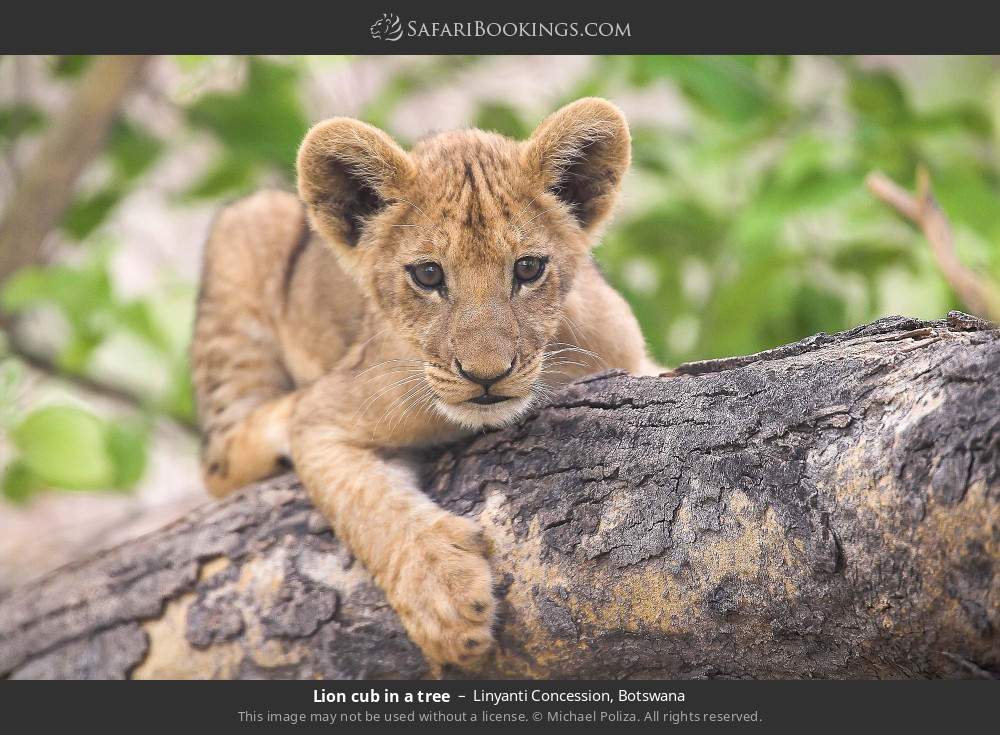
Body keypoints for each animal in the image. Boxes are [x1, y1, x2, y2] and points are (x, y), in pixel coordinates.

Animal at [191, 97, 659, 668]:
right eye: (429, 275)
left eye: (528, 268)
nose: (486, 376)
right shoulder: (329, 415)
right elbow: (368, 505)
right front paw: (446, 600)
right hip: (246, 232)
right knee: (218, 458)